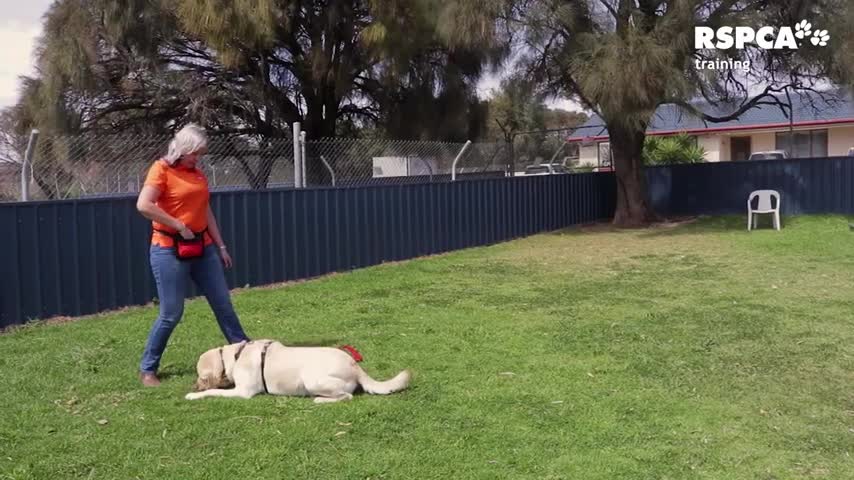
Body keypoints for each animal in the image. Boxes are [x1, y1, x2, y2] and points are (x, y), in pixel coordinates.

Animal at [186, 340, 412, 404]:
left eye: (201, 377)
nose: (194, 385)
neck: (236, 355)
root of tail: (354, 365)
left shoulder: (243, 392)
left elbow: (213, 391)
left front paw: (193, 395)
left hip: (312, 379)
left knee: (346, 396)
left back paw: (319, 400)